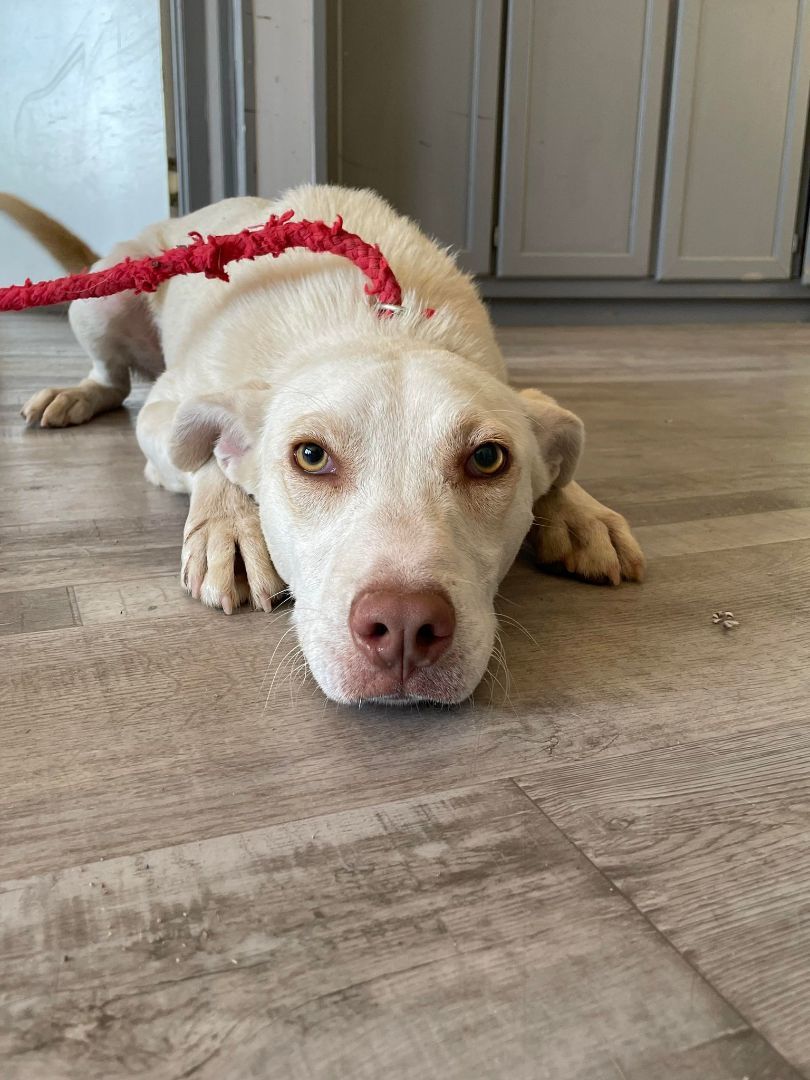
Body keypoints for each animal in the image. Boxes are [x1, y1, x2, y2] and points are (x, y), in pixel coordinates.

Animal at [3, 185, 643, 704]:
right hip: (104, 297)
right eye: (311, 456)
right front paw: (230, 526)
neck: (381, 323)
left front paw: (581, 512)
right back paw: (74, 394)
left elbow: (555, 455)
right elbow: (206, 450)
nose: (404, 628)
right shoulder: (167, 410)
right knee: (111, 378)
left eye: (488, 459)